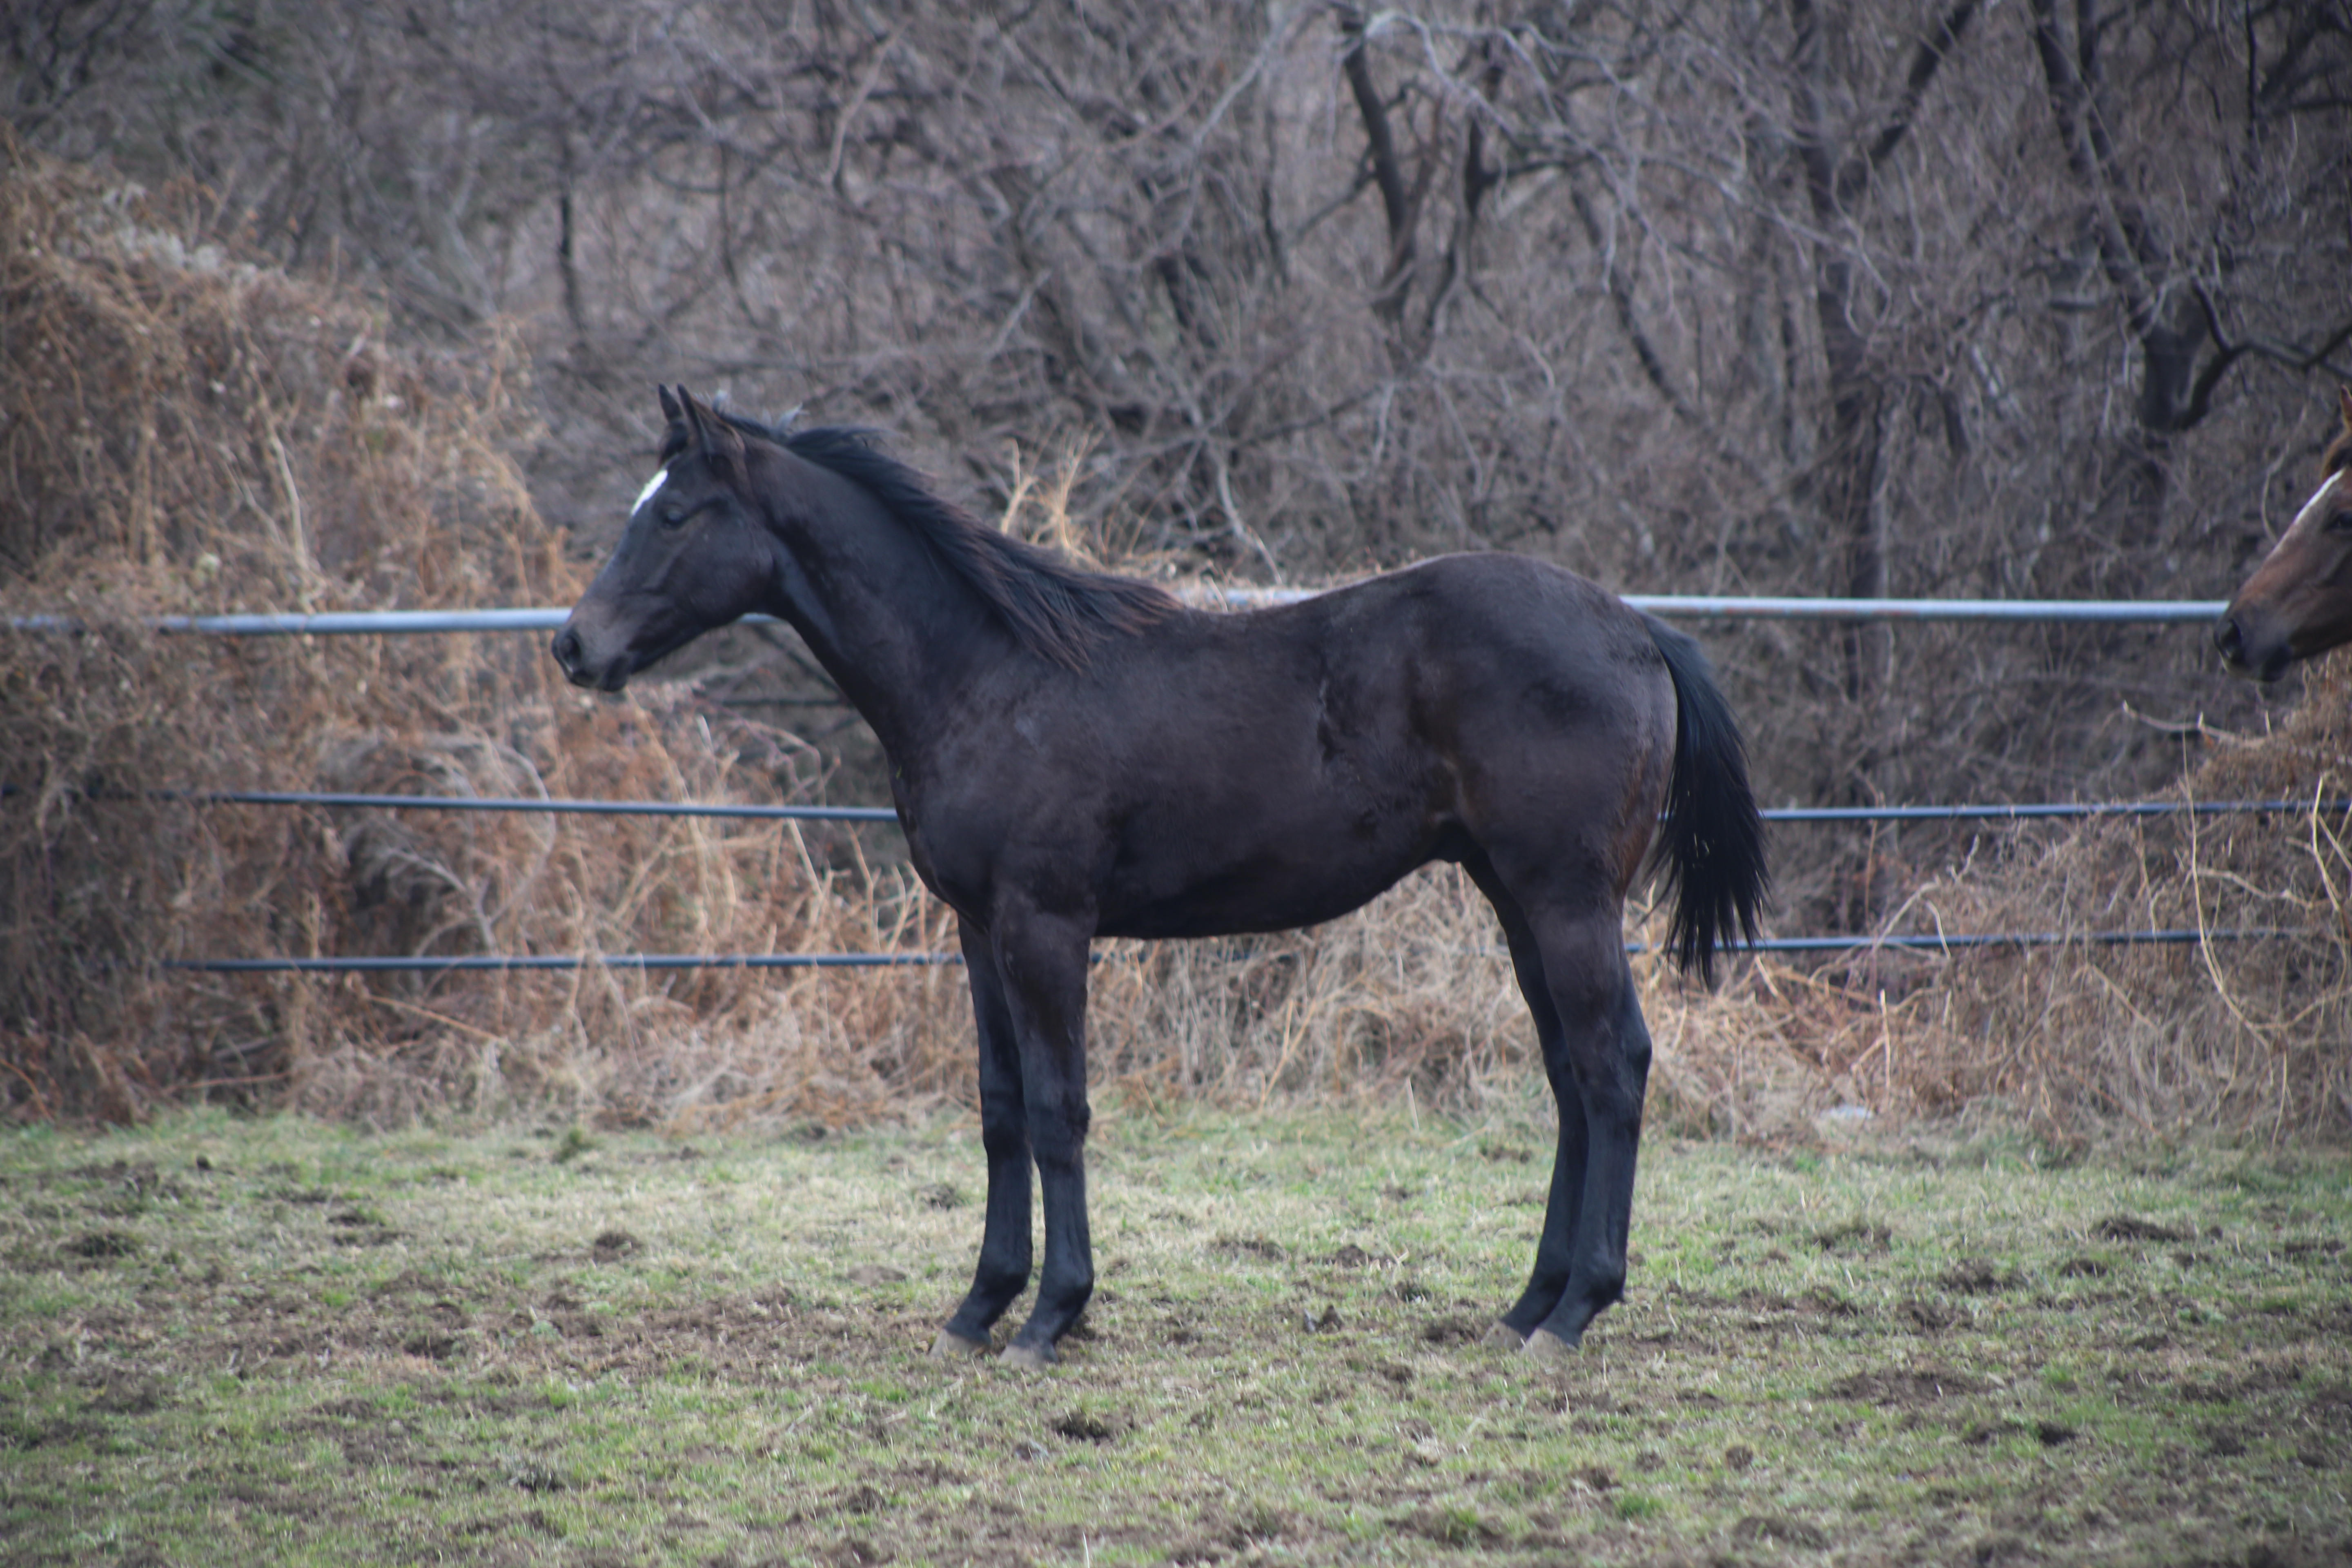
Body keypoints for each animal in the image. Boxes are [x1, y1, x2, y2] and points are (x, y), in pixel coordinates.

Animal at [555, 385, 1768, 1363]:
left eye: (673, 513)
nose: (576, 645)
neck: (987, 674)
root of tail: (1638, 630)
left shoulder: (1045, 923)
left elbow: (1057, 1108)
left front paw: (1052, 1315)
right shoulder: (977, 928)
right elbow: (1000, 1106)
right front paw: (978, 1307)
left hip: (1566, 900)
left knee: (1612, 1065)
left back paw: (1575, 1312)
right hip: (1515, 899)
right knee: (1568, 1076)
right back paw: (1526, 1305)